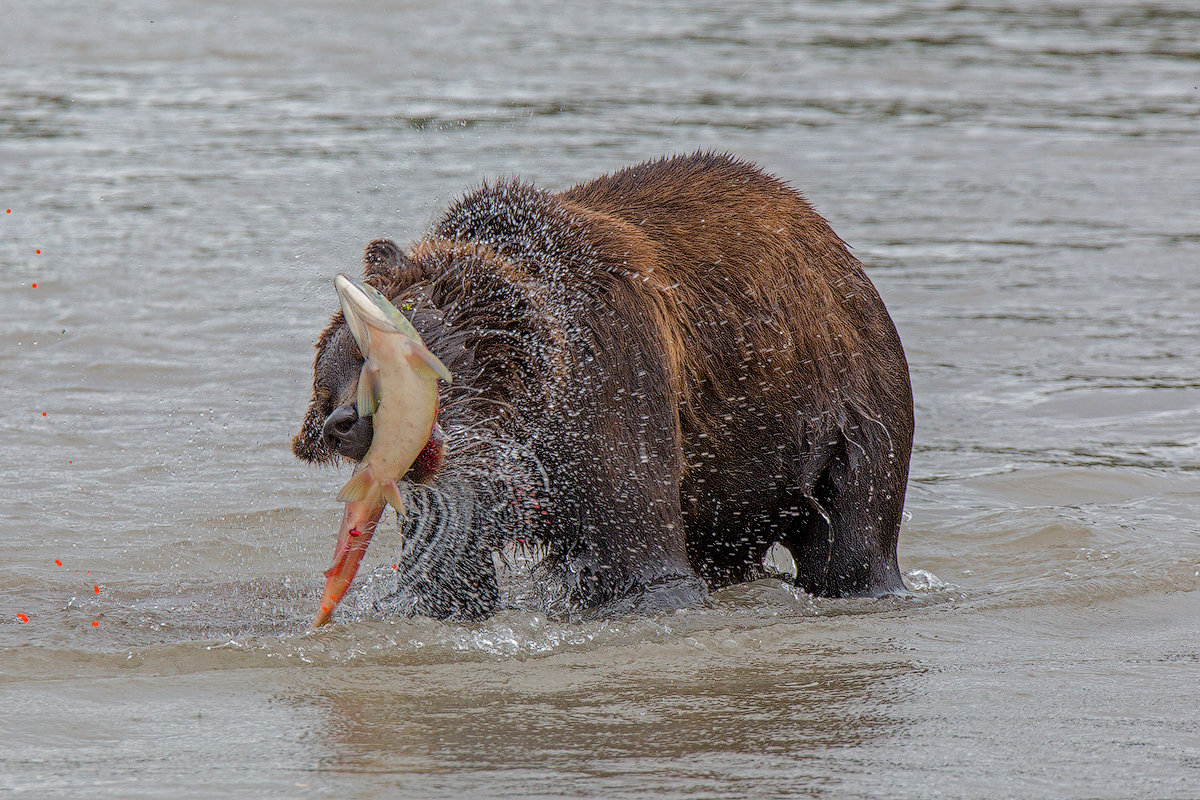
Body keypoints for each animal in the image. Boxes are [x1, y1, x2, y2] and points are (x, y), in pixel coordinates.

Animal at [295, 153, 912, 623]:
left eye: (373, 358)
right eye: (328, 380)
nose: (343, 424)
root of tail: (833, 243)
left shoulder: (615, 382)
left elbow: (637, 560)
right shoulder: (463, 491)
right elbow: (448, 576)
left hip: (841, 408)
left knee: (853, 534)